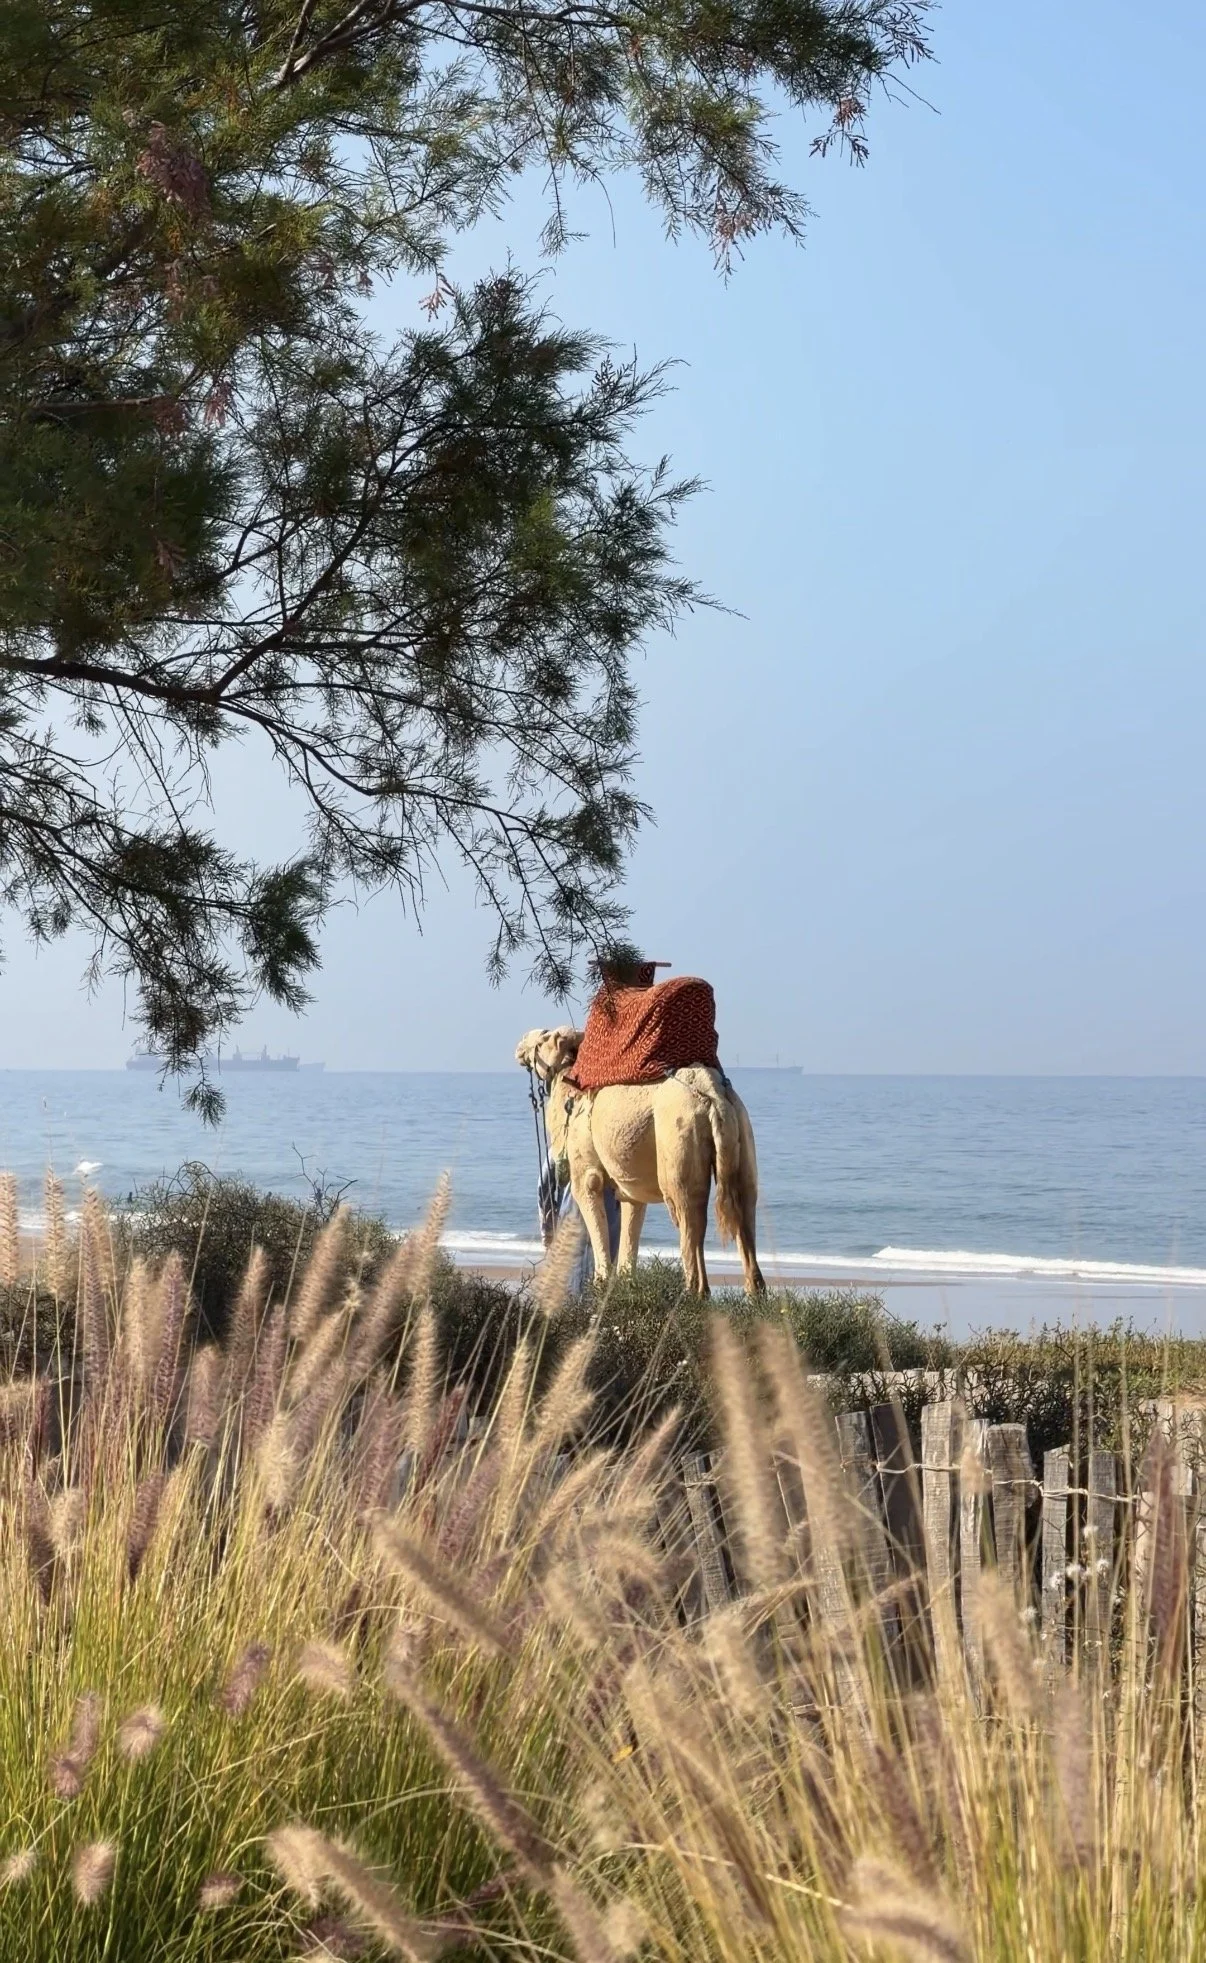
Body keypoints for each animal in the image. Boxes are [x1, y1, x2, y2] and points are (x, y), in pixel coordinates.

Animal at [516, 1025, 765, 1296]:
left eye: (543, 1038)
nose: (520, 1045)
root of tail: (713, 1095)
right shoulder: (628, 1183)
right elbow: (631, 1218)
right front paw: (625, 1284)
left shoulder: (585, 1168)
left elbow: (591, 1201)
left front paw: (600, 1285)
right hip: (741, 1132)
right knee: (743, 1209)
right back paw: (753, 1294)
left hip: (679, 1139)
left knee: (688, 1214)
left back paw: (692, 1295)